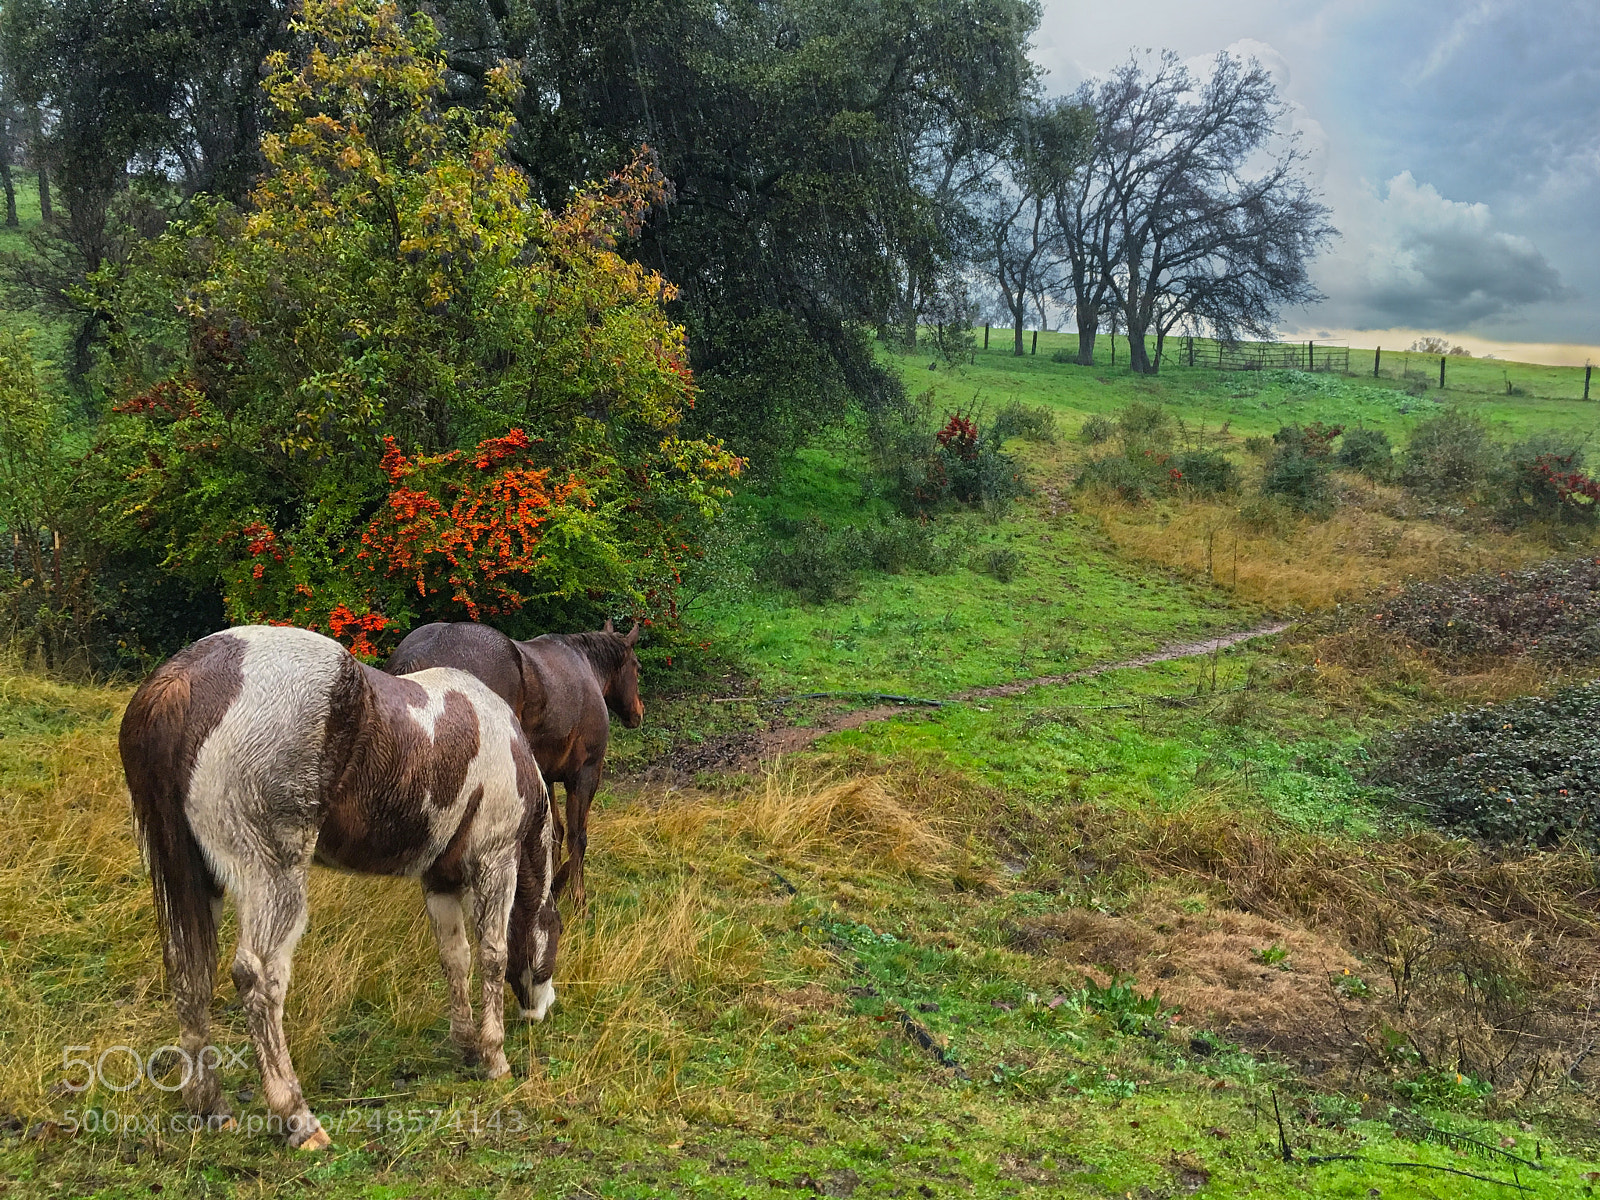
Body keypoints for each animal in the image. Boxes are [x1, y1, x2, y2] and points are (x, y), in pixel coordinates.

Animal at [120, 625, 562, 1150]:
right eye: (556, 935)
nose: (543, 1010)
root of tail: (182, 683)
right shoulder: (495, 861)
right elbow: (493, 955)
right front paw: (494, 1057)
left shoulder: (440, 880)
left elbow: (455, 958)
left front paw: (468, 1046)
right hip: (274, 877)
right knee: (258, 980)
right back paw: (298, 1118)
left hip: (196, 881)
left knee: (189, 973)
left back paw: (211, 1106)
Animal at [385, 619, 642, 910]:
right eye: (637, 667)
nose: (638, 712)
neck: (585, 663)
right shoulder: (585, 773)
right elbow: (578, 837)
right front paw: (578, 899)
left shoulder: (546, 776)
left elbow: (554, 833)